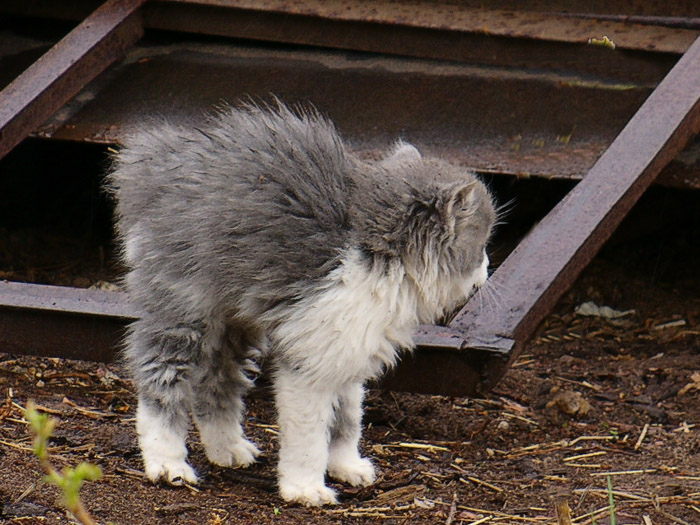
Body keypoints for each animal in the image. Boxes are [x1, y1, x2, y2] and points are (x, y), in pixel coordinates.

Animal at [106, 101, 494, 504]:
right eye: (481, 245)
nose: (488, 269)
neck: (374, 253)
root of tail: (156, 159)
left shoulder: (348, 354)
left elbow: (346, 421)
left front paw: (346, 467)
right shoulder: (310, 361)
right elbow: (309, 437)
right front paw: (306, 489)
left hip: (231, 323)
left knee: (215, 383)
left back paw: (228, 450)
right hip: (182, 311)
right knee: (159, 380)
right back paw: (168, 464)